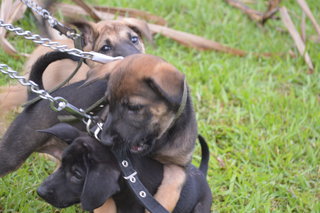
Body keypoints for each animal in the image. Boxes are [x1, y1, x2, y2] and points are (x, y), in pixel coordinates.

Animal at [92, 54, 198, 212]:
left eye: (134, 107)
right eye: (108, 103)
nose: (104, 140)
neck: (160, 142)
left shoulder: (178, 165)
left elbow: (170, 191)